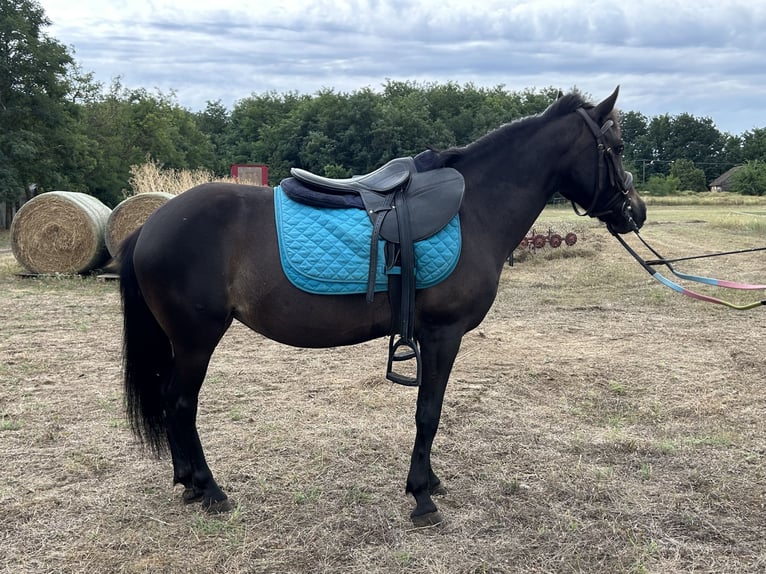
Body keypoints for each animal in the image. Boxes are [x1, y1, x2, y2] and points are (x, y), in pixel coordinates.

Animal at [118, 87, 646, 526]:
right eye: (617, 148)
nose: (635, 212)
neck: (474, 207)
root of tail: (149, 225)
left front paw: (430, 482)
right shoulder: (442, 334)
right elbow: (429, 411)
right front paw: (422, 497)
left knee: (170, 401)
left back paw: (188, 483)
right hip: (196, 339)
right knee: (180, 403)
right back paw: (210, 490)